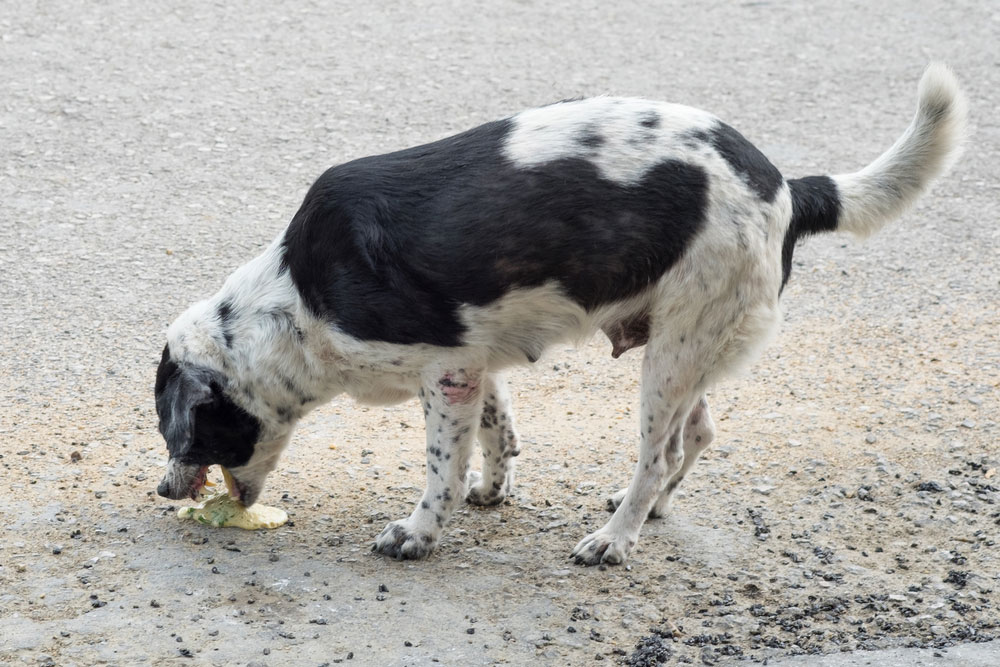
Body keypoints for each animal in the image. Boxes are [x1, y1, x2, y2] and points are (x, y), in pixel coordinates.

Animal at [158, 66, 968, 564]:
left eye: (183, 431)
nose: (163, 492)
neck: (296, 299)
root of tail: (789, 187)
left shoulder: (445, 372)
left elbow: (440, 467)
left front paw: (420, 532)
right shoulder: (474, 363)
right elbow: (498, 433)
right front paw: (492, 492)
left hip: (672, 355)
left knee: (660, 452)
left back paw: (615, 538)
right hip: (692, 344)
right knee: (698, 432)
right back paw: (648, 511)